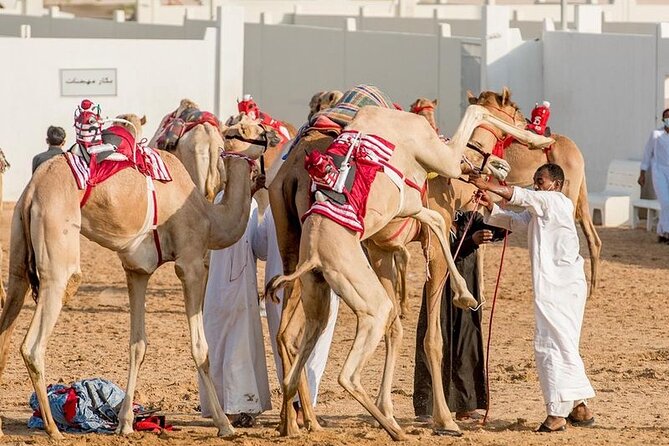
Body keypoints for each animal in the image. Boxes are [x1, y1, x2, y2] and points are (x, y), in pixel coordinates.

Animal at [0, 113, 264, 439]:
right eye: (248, 128)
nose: (270, 133)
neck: (210, 218)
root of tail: (32, 191)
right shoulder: (191, 264)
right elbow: (201, 348)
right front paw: (225, 425)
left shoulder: (137, 271)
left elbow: (137, 345)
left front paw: (125, 423)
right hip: (56, 241)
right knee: (36, 339)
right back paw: (53, 429)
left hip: (18, 251)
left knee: (10, 311)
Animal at [265, 103, 553, 440]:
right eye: (517, 115)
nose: (501, 166)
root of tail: (313, 257)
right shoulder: (437, 172)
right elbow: (476, 112)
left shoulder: (390, 235)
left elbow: (398, 327)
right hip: (367, 301)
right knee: (348, 369)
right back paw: (391, 429)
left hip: (314, 283)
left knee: (295, 339)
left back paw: (300, 423)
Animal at [466, 89, 601, 295]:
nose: (527, 124)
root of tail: (576, 151)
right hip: (580, 190)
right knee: (591, 234)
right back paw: (591, 291)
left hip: (569, 188)